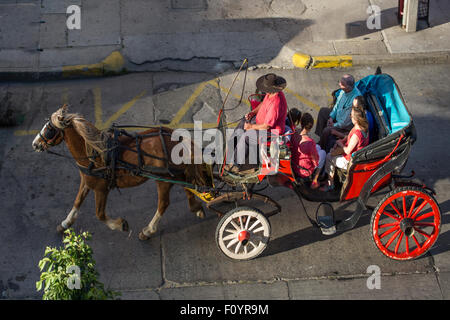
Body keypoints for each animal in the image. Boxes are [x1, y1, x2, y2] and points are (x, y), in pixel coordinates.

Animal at [31, 105, 209, 240]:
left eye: (49, 129)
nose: (35, 144)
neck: (94, 153)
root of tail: (174, 137)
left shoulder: (101, 189)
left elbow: (100, 214)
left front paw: (120, 224)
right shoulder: (87, 181)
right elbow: (77, 202)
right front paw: (65, 223)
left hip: (163, 179)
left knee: (164, 203)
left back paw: (148, 230)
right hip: (175, 173)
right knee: (188, 186)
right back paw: (196, 207)